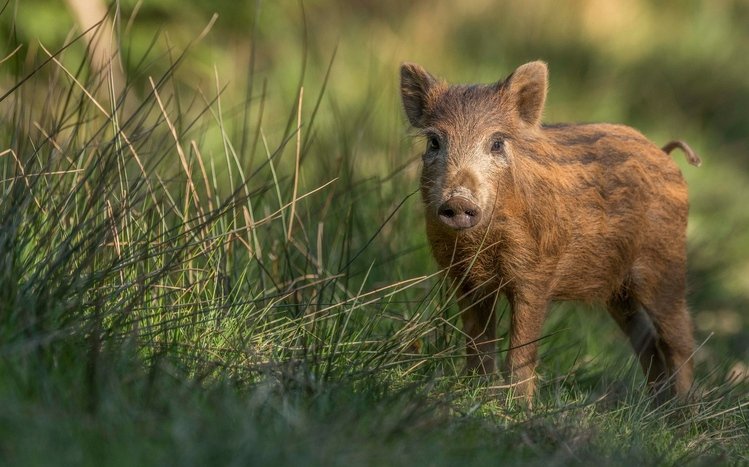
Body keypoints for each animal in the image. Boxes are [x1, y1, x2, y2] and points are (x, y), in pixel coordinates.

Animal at [399, 60, 701, 403]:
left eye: (497, 143)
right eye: (434, 142)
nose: (459, 201)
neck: (481, 242)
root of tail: (666, 155)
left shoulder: (535, 276)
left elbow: (521, 349)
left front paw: (517, 407)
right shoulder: (464, 278)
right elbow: (478, 341)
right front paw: (473, 391)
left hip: (664, 269)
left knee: (679, 341)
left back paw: (683, 411)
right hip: (620, 293)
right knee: (647, 340)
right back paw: (655, 407)